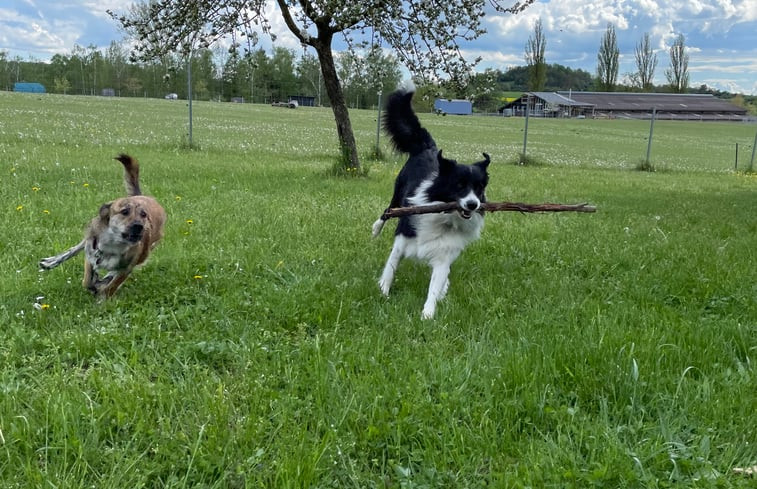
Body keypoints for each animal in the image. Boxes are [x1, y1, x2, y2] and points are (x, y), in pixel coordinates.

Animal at [39, 154, 165, 298]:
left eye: (144, 215)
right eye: (124, 212)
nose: (139, 226)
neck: (114, 244)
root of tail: (142, 196)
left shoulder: (128, 267)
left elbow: (112, 285)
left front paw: (103, 295)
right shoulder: (91, 254)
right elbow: (87, 280)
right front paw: (94, 283)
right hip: (89, 237)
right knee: (74, 249)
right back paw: (51, 262)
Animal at [372, 84, 490, 318]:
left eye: (479, 188)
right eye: (459, 185)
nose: (473, 205)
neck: (444, 217)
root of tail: (427, 147)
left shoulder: (444, 255)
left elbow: (436, 284)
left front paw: (427, 315)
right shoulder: (403, 238)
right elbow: (391, 267)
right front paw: (383, 292)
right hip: (397, 196)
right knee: (387, 211)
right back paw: (376, 228)